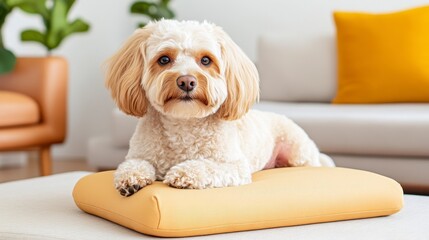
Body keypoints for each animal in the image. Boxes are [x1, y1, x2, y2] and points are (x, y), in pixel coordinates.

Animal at [105, 19, 332, 197]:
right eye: (164, 59)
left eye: (206, 60)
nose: (186, 81)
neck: (184, 125)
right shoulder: (139, 155)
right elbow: (132, 165)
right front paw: (131, 179)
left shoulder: (235, 166)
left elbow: (205, 166)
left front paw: (183, 173)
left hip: (298, 152)